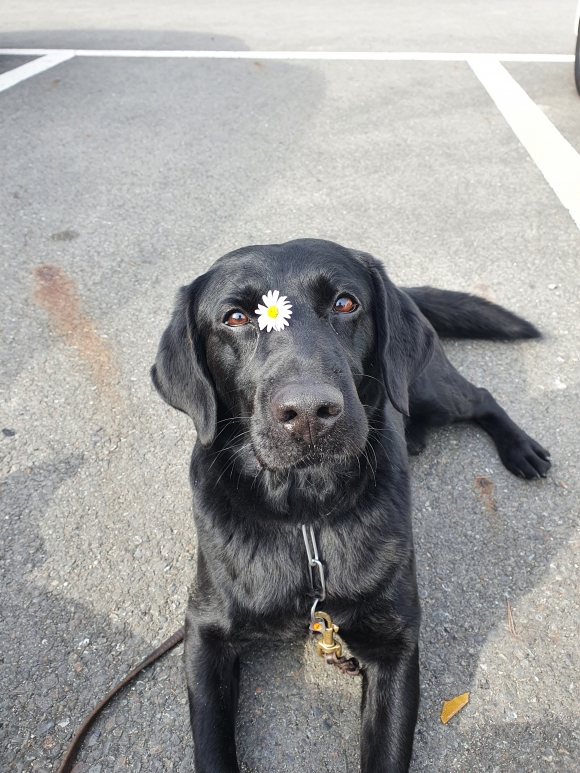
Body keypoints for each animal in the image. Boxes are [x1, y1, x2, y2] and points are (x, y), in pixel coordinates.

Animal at [152, 238, 552, 772]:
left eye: (345, 304)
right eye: (235, 317)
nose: (308, 413)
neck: (305, 516)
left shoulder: (394, 643)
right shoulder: (204, 631)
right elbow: (212, 748)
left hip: (431, 390)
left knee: (481, 398)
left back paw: (521, 449)